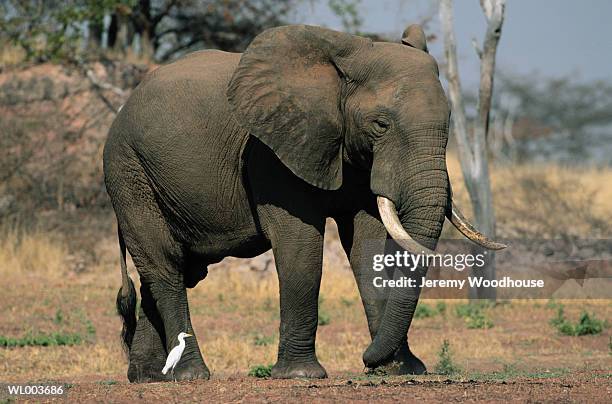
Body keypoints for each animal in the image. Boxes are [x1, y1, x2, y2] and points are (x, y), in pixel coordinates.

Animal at [104, 23, 506, 384]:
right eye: (381, 124)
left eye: (449, 122)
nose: (367, 358)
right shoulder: (271, 151)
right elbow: (300, 248)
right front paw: (301, 374)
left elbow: (367, 247)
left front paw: (401, 369)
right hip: (129, 174)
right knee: (166, 267)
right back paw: (191, 375)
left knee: (173, 270)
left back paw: (149, 378)